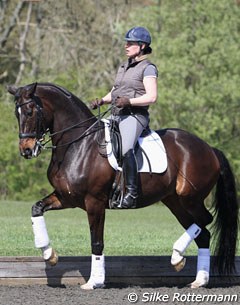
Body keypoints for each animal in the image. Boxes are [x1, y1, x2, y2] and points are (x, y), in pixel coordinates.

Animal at [7, 82, 238, 288]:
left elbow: (96, 241)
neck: (78, 145)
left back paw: (176, 256)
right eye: (16, 114)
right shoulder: (66, 198)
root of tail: (210, 149)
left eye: (29, 111)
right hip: (174, 202)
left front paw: (94, 282)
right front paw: (49, 254)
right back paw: (197, 278)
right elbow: (36, 208)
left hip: (190, 198)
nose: (26, 150)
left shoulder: (94, 202)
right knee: (203, 233)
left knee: (205, 220)